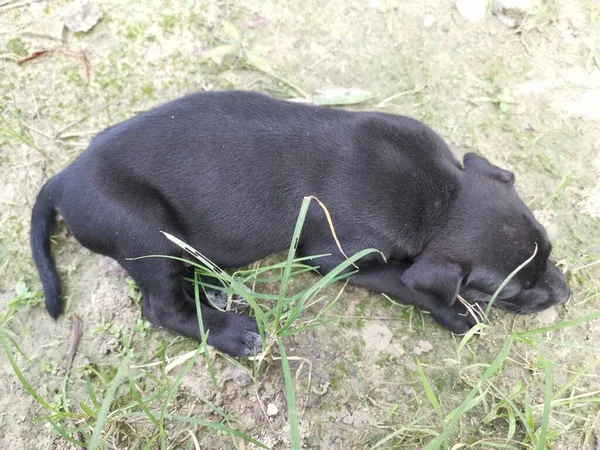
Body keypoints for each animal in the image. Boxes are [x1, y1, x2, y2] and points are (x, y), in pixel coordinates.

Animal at [30, 91, 568, 356]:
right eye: (512, 291)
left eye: (548, 249)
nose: (565, 295)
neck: (441, 199)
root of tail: (63, 177)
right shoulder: (338, 258)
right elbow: (407, 282)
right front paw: (459, 312)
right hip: (144, 230)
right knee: (161, 308)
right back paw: (232, 333)